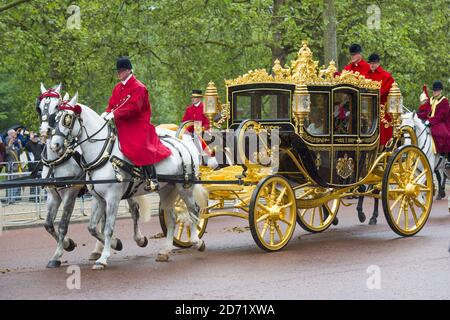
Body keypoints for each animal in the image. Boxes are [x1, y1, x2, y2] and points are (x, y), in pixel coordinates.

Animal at [37, 84, 148, 268]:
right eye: (39, 108)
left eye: (56, 106)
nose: (46, 133)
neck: (57, 160)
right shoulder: (53, 194)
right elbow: (48, 224)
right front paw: (67, 245)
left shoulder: (71, 192)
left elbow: (63, 224)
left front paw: (59, 253)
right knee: (102, 220)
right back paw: (100, 249)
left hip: (126, 190)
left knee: (134, 210)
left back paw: (138, 239)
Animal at [50, 94, 208, 268]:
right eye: (54, 118)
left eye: (67, 118)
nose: (55, 145)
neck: (103, 154)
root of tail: (183, 143)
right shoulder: (99, 199)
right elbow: (92, 227)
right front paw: (115, 244)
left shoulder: (112, 198)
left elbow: (108, 228)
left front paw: (103, 258)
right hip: (167, 189)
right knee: (172, 218)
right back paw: (165, 251)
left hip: (184, 187)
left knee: (193, 210)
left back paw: (197, 241)